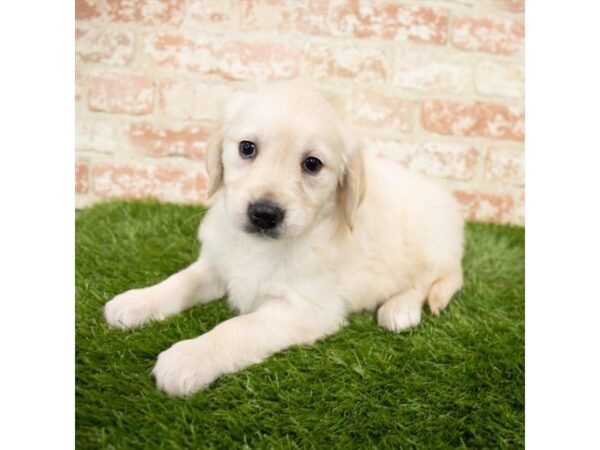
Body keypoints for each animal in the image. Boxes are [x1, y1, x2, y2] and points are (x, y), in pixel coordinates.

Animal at [103, 81, 464, 398]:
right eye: (247, 148)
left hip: (433, 242)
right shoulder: (218, 261)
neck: (263, 246)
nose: (264, 214)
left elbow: (237, 328)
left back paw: (400, 309)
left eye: (312, 164)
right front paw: (137, 301)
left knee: (429, 281)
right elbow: (182, 281)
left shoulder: (305, 309)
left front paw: (187, 357)